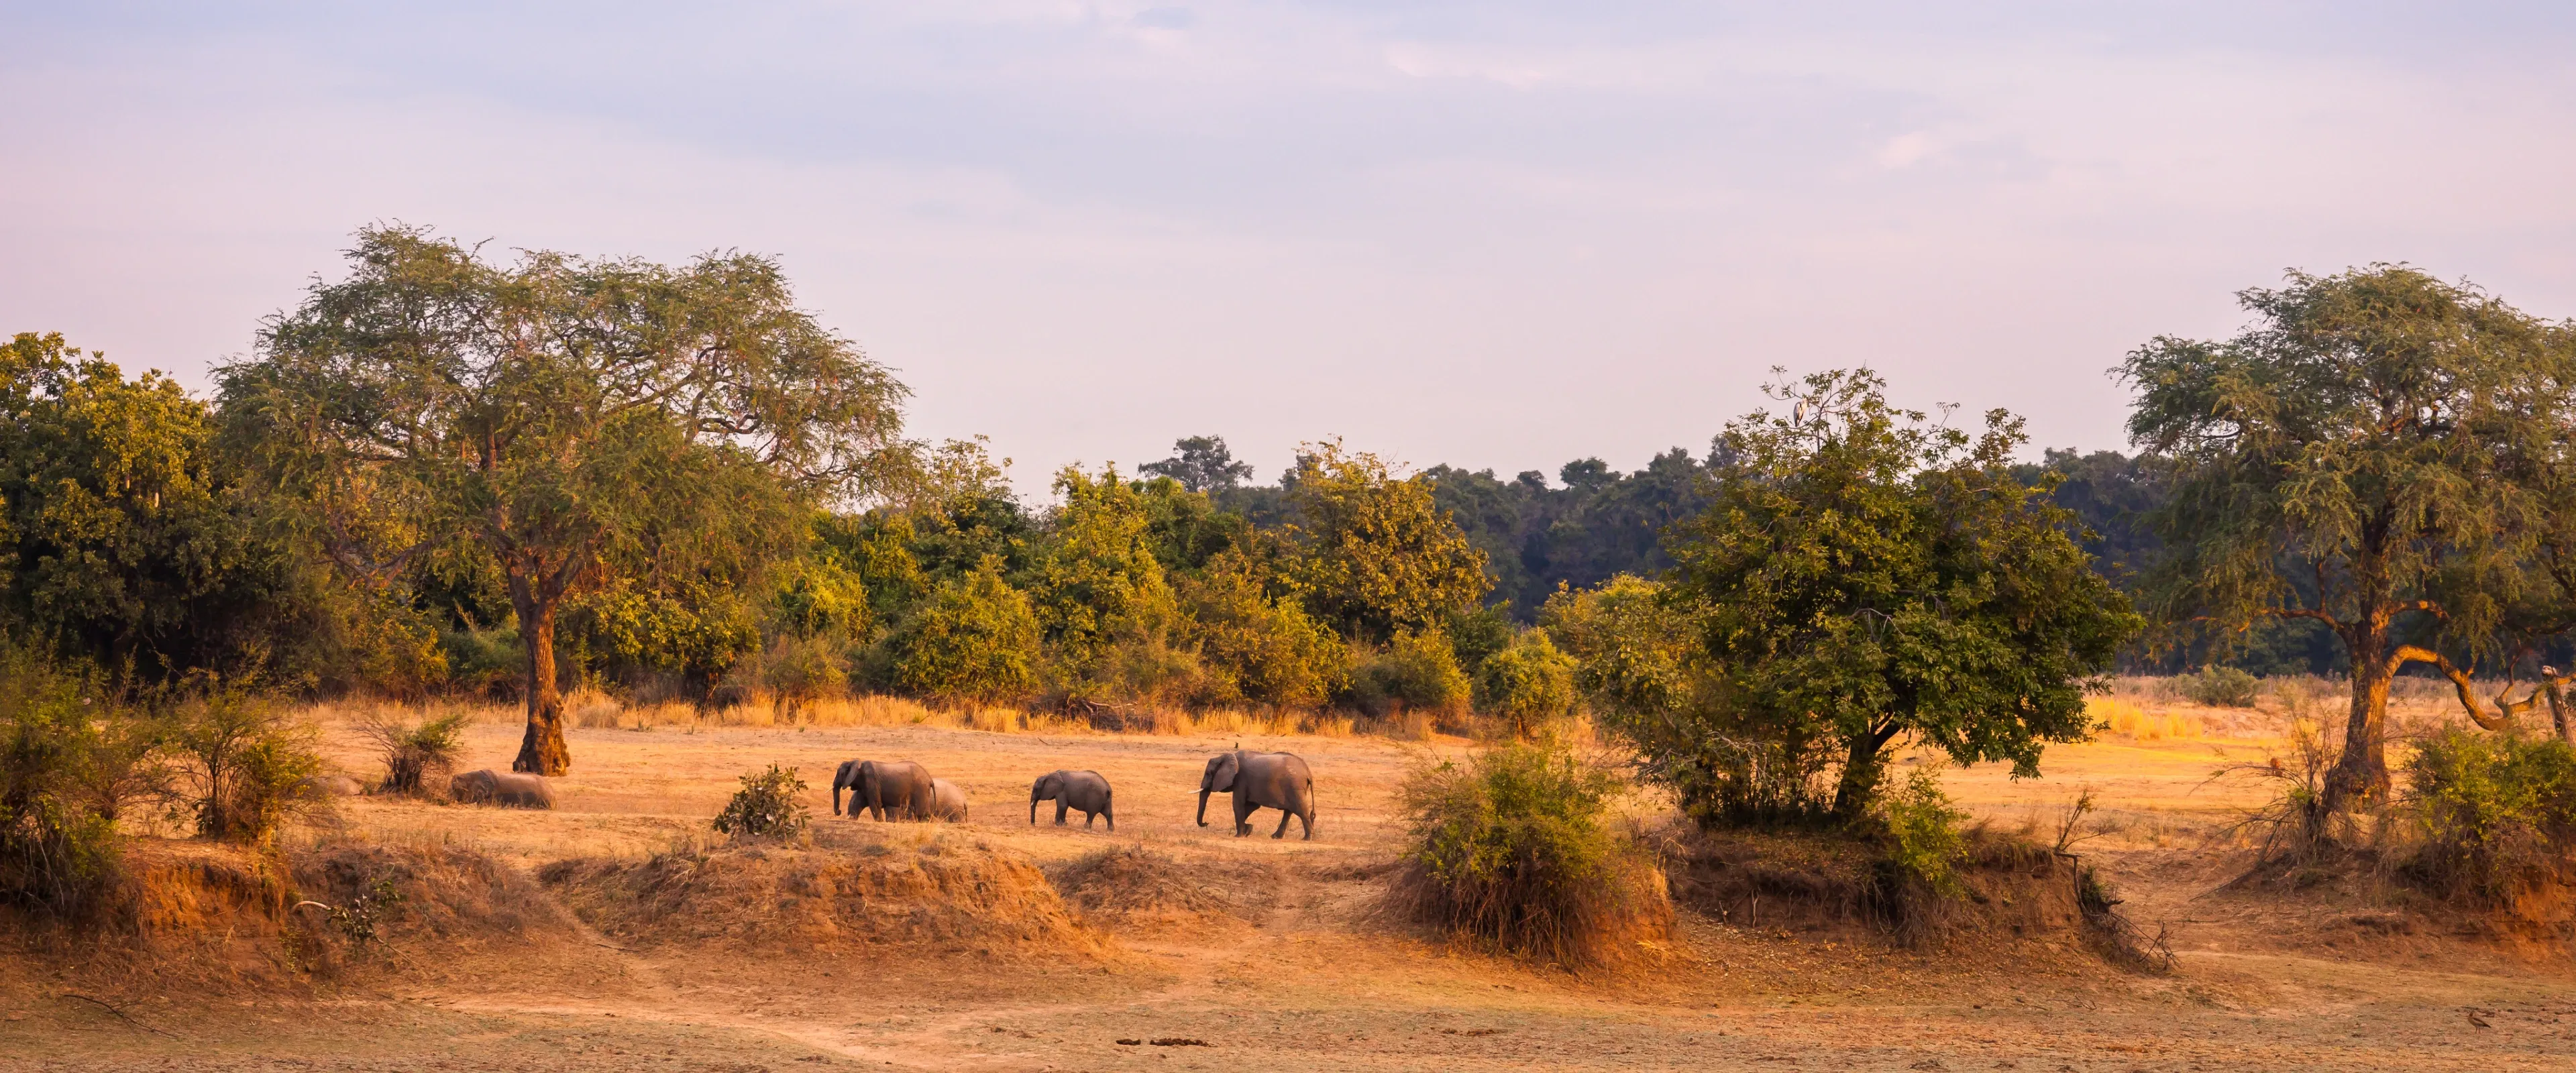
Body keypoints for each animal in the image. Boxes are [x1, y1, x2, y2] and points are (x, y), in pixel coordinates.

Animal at [834, 759, 936, 820]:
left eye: (840, 774)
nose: (839, 812)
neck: (856, 763)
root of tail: (930, 779)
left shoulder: (871, 781)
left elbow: (875, 804)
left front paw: (879, 821)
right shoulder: (864, 785)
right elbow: (857, 802)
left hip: (920, 789)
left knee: (921, 813)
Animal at [1197, 750, 1314, 840]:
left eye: (1208, 773)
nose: (1207, 823)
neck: (1228, 756)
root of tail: (1308, 772)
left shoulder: (1240, 779)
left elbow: (1238, 804)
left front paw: (1239, 836)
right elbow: (1251, 806)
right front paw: (1248, 829)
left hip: (1295, 787)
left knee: (1301, 811)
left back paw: (1307, 838)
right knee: (1288, 812)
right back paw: (1276, 837)